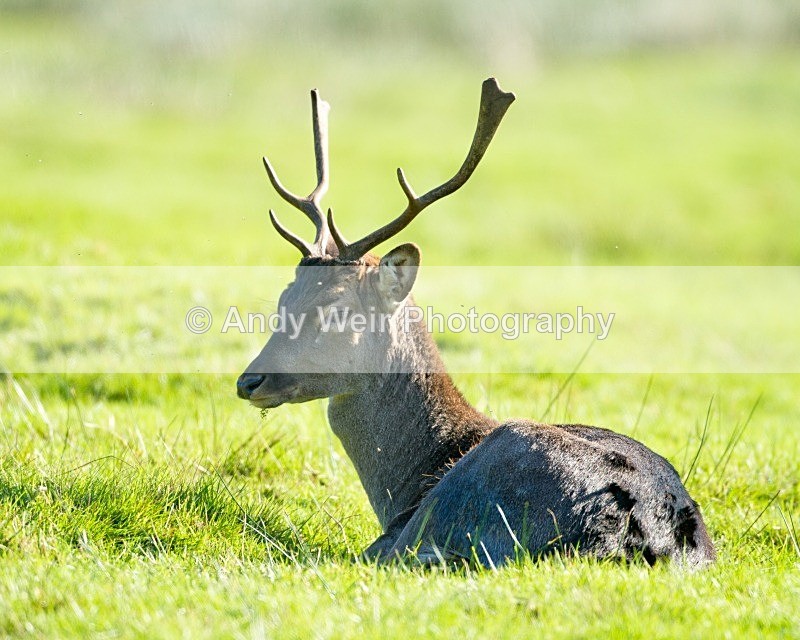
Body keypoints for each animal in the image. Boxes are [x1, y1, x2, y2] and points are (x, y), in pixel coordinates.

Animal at [236, 78, 716, 568]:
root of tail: (646, 536)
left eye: (335, 309)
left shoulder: (399, 531)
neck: (419, 473)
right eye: (283, 299)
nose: (249, 381)